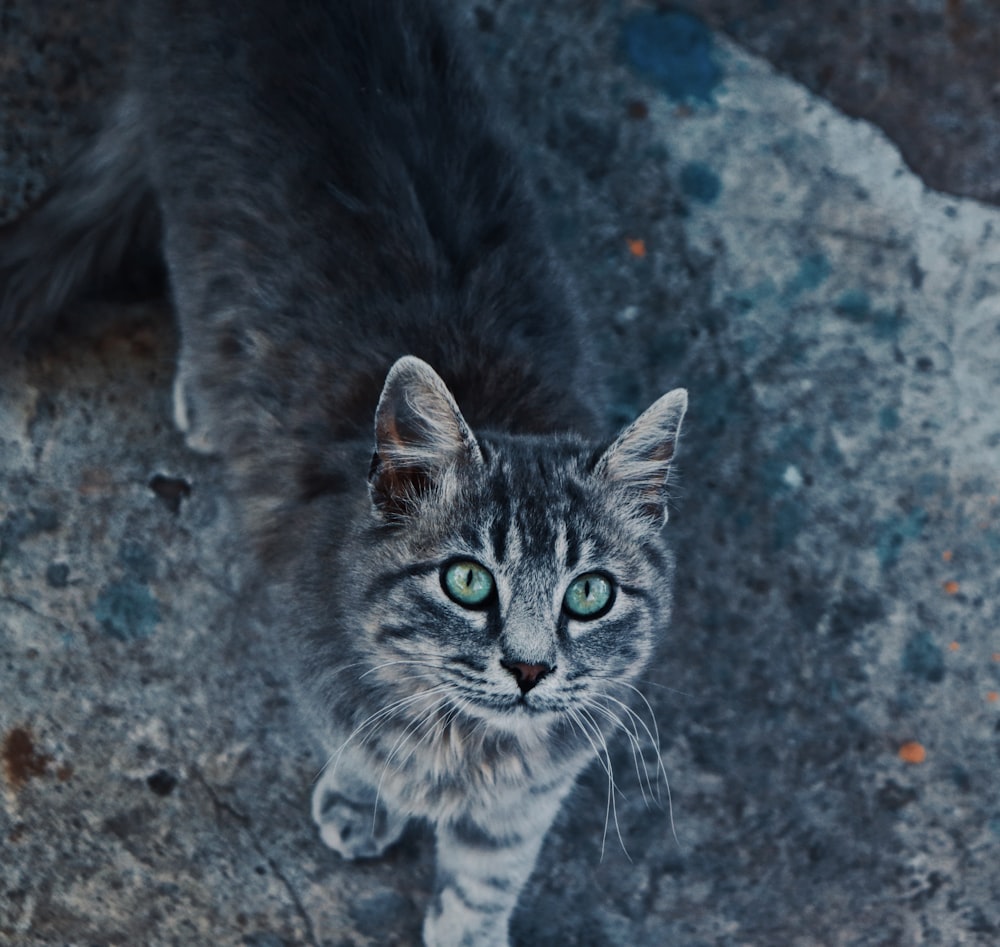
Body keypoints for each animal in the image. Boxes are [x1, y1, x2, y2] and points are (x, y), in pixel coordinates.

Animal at [0, 1, 688, 947]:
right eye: (468, 580)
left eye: (589, 594)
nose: (529, 668)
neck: (466, 741)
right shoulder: (320, 664)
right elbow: (362, 745)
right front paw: (366, 799)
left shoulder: (549, 768)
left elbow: (491, 865)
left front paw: (467, 922)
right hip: (197, 215)